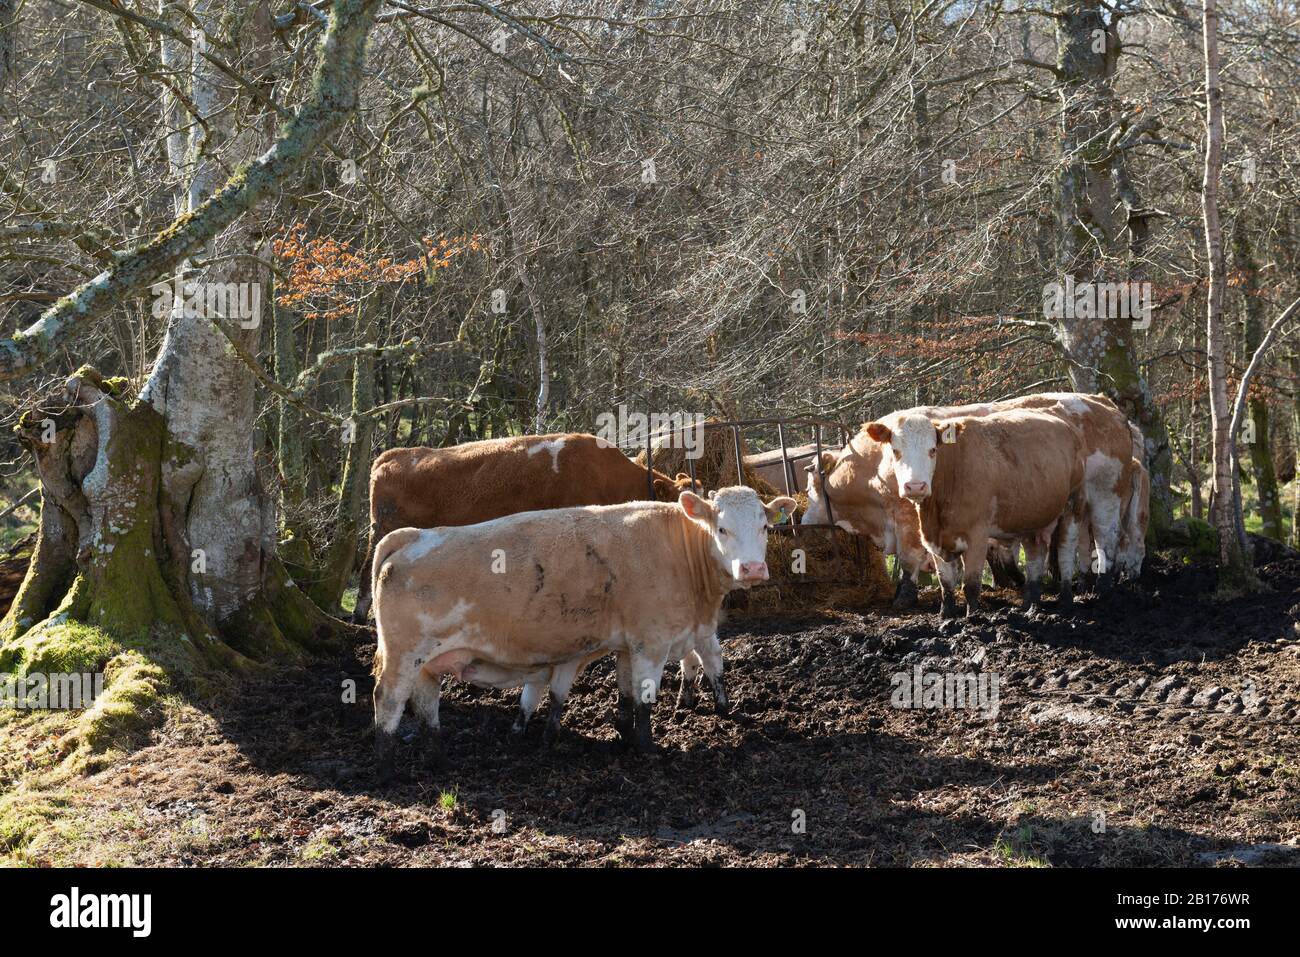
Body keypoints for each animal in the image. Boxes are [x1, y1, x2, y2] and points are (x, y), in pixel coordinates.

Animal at [366, 486, 790, 780]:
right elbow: (645, 699)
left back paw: (438, 758)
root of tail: (415, 535)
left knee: (426, 705)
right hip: (405, 654)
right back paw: (384, 767)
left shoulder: (628, 646)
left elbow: (626, 695)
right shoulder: (650, 642)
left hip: (429, 662)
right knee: (389, 700)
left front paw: (624, 737)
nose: (752, 569)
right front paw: (647, 748)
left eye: (765, 526)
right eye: (722, 528)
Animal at [868, 408, 1092, 616]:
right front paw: (946, 615)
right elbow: (946, 582)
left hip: (1074, 504)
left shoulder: (977, 535)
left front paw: (972, 617)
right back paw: (1030, 605)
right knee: (1035, 556)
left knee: (1065, 552)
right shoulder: (935, 540)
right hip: (1032, 516)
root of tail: (1066, 425)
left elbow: (971, 584)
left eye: (932, 450)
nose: (915, 486)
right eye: (895, 451)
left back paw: (1066, 601)